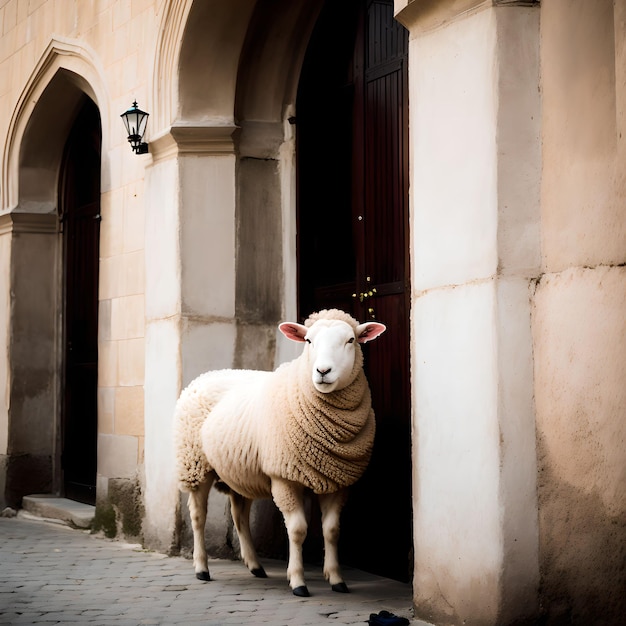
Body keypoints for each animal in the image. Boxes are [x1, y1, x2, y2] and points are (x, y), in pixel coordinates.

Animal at [172, 308, 386, 596]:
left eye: (351, 340)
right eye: (308, 341)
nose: (323, 371)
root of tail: (205, 376)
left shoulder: (337, 481)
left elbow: (332, 531)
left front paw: (336, 579)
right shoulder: (285, 478)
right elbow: (297, 530)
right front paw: (298, 581)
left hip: (240, 471)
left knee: (240, 516)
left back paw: (255, 566)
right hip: (195, 463)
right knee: (198, 516)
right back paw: (201, 568)